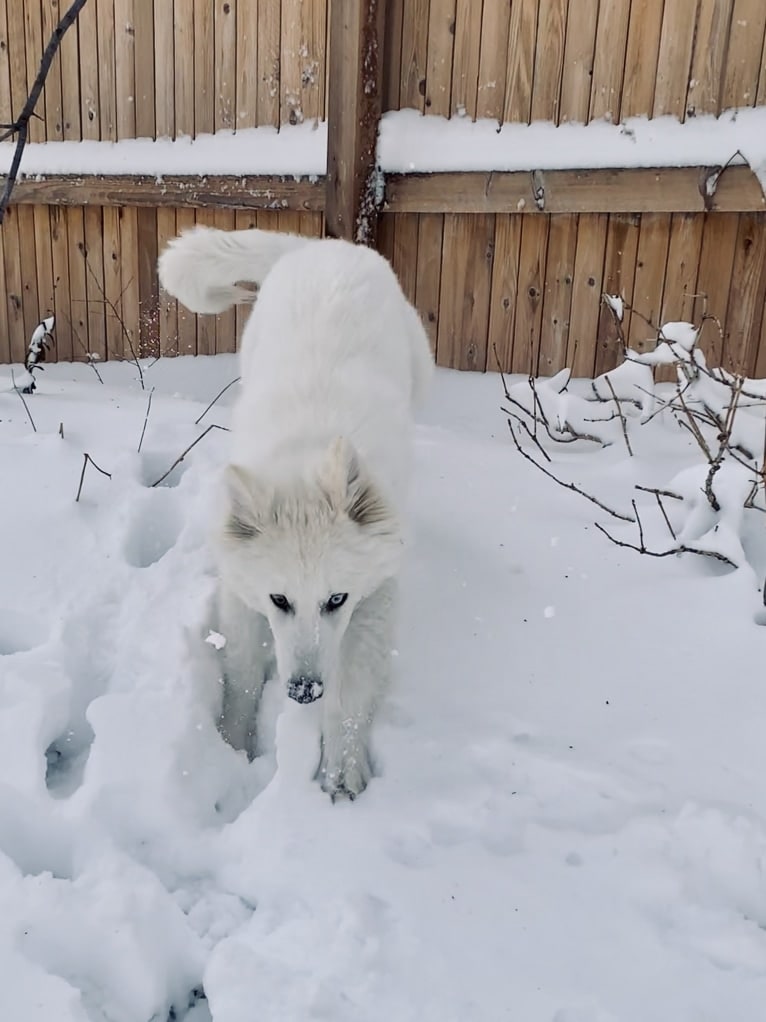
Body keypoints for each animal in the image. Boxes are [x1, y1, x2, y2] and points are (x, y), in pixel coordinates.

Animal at [157, 225, 433, 797]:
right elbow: (240, 677)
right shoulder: (240, 596)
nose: (304, 692)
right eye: (279, 599)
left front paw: (341, 771)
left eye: (336, 599)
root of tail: (320, 246)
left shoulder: (373, 599)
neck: (308, 455)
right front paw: (233, 746)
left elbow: (350, 693)